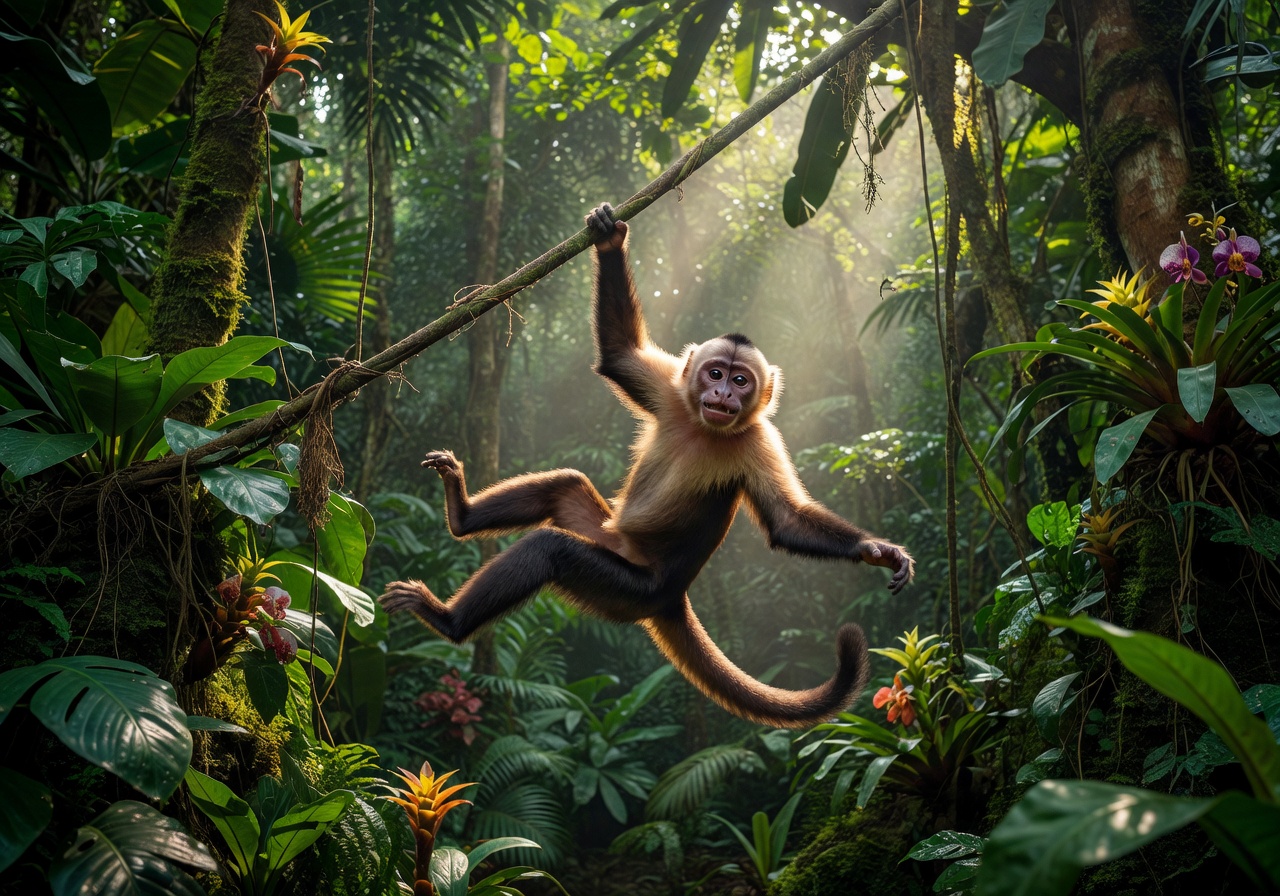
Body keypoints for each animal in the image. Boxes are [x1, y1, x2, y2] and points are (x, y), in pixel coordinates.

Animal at [380, 203, 913, 728]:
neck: (704, 426)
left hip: (626, 588)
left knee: (552, 550)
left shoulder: (760, 439)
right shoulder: (675, 393)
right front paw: (608, 240)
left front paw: (875, 550)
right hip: (605, 536)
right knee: (564, 489)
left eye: (741, 381)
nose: (723, 395)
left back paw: (448, 621)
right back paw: (461, 515)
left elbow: (786, 521)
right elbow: (620, 357)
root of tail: (671, 596)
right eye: (714, 373)